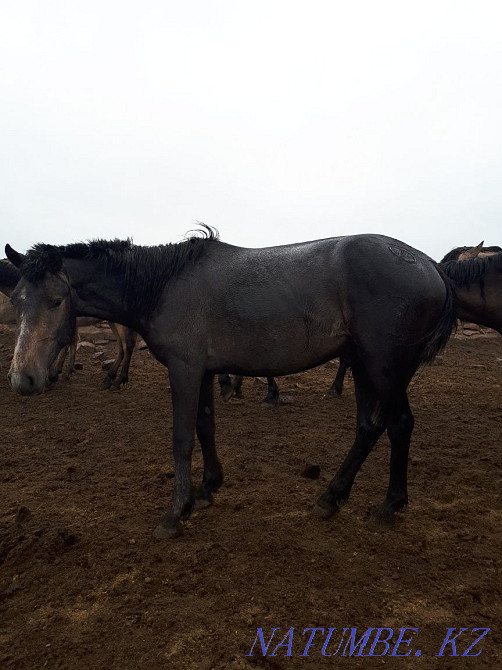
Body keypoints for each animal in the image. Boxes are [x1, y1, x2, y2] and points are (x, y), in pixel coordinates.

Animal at [5, 231, 456, 539]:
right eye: (16, 299)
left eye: (56, 300)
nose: (22, 379)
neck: (165, 286)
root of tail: (430, 266)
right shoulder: (203, 372)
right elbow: (206, 427)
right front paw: (206, 490)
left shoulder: (184, 369)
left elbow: (182, 438)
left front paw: (175, 513)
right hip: (364, 366)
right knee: (368, 427)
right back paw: (331, 497)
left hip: (385, 368)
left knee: (399, 424)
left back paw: (388, 506)